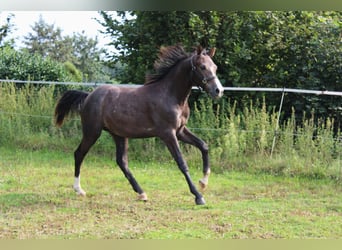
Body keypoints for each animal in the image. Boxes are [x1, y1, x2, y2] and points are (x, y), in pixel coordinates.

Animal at [53, 45, 224, 205]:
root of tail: (88, 96)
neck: (171, 96)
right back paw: (79, 189)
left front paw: (203, 182)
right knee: (79, 153)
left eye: (215, 67)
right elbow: (182, 163)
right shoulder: (168, 134)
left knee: (121, 161)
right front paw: (198, 196)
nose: (218, 90)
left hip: (119, 135)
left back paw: (141, 193)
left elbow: (203, 146)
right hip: (92, 132)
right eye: (202, 67)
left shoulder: (180, 131)